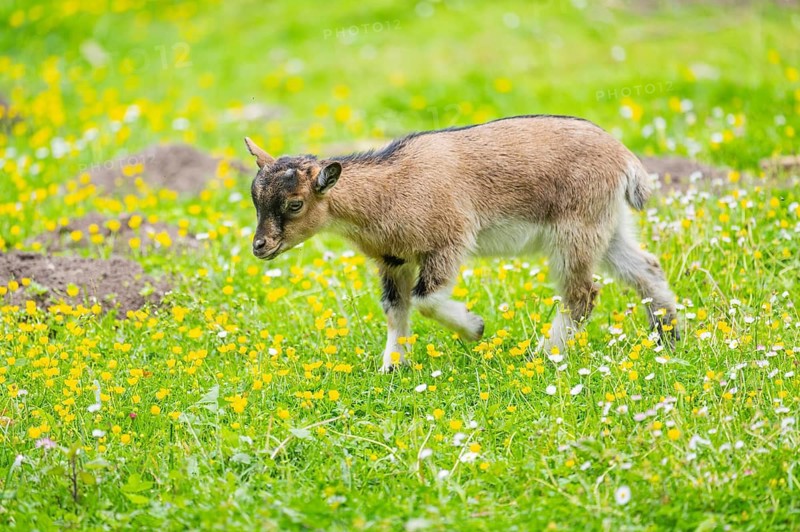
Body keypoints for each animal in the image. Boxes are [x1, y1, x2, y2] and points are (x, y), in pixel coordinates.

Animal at [244, 115, 679, 372]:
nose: (260, 246)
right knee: (647, 269)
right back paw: (668, 338)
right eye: (255, 197)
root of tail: (626, 161)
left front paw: (475, 328)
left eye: (295, 204)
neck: (388, 191)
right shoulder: (393, 259)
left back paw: (542, 354)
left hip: (576, 229)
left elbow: (425, 300)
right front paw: (392, 366)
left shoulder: (448, 241)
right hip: (608, 226)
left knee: (582, 294)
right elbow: (395, 308)